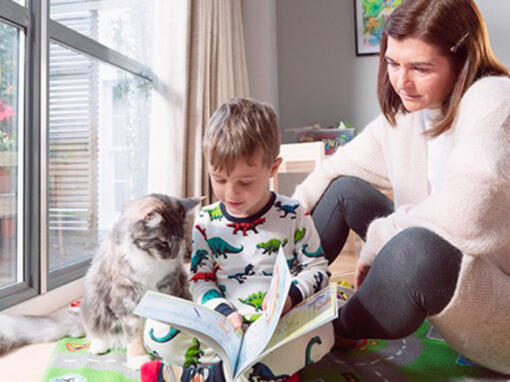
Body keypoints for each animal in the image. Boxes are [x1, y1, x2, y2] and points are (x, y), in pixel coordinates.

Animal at [0, 194, 198, 370]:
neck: (150, 261)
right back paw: (99, 346)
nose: (174, 255)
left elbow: (169, 308)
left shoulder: (170, 282)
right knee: (93, 331)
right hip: (94, 301)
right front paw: (138, 358)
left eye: (180, 240)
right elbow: (134, 332)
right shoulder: (125, 296)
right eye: (163, 242)